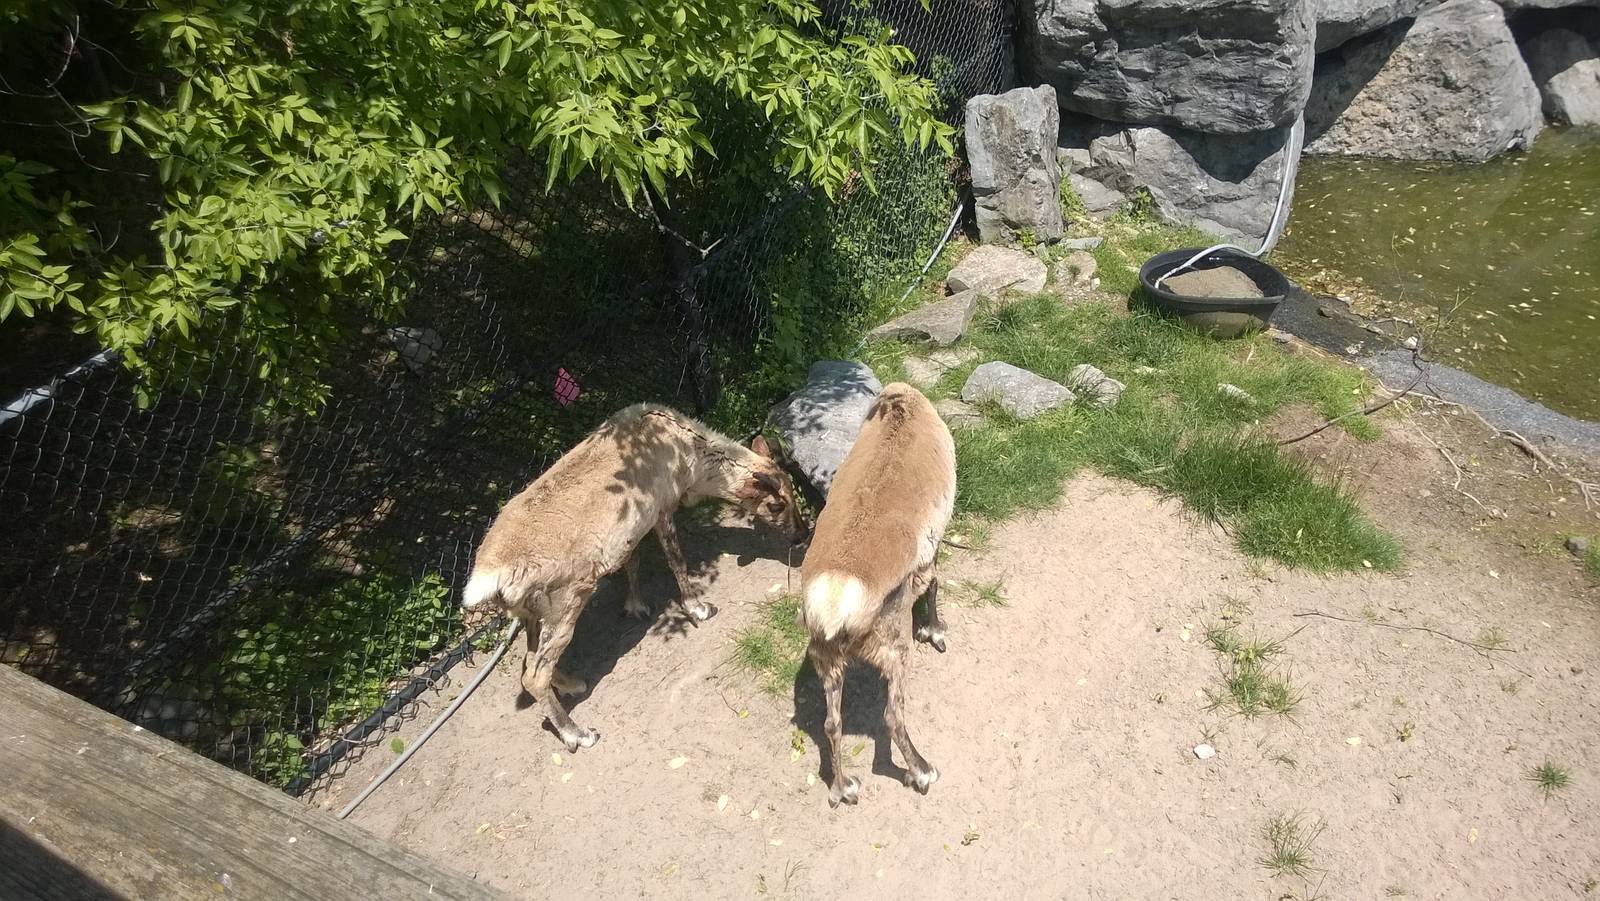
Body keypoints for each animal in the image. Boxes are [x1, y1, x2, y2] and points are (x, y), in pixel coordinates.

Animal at [462, 403, 808, 753]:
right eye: (775, 505)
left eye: (792, 488)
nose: (803, 534)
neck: (692, 465)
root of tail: (488, 579)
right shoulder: (663, 507)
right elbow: (677, 562)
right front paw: (698, 608)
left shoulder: (631, 529)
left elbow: (632, 563)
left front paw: (635, 605)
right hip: (565, 601)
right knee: (534, 674)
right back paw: (579, 734)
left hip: (531, 613)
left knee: (527, 663)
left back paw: (573, 683)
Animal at [799, 382, 955, 807]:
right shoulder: (928, 557)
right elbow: (935, 585)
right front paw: (936, 632)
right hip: (895, 653)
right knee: (891, 717)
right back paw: (924, 771)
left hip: (827, 661)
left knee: (831, 722)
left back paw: (844, 789)